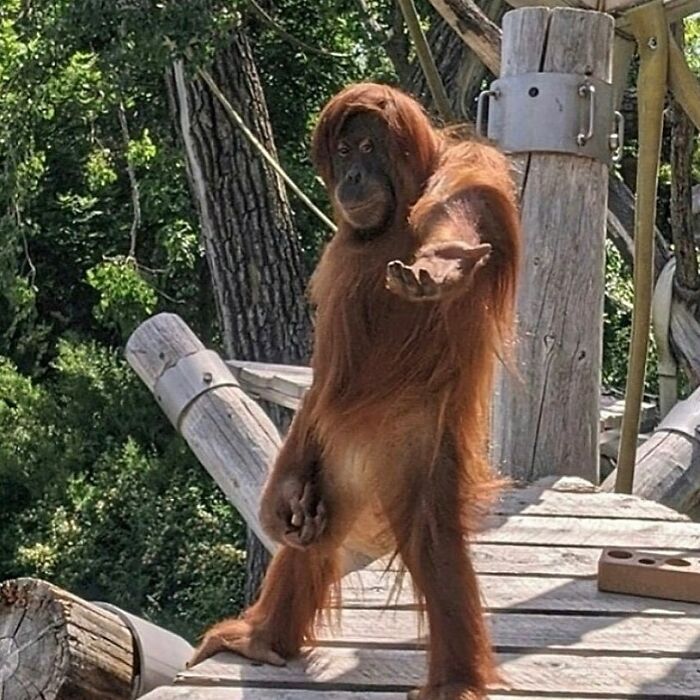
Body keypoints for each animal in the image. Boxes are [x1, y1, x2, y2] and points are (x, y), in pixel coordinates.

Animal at [189, 82, 521, 700]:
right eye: (343, 152)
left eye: (369, 146)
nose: (354, 177)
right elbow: (321, 376)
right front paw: (278, 502)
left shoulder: (470, 174)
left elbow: (458, 218)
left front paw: (443, 263)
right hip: (331, 456)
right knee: (312, 529)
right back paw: (263, 639)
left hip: (417, 442)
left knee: (431, 536)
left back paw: (454, 682)